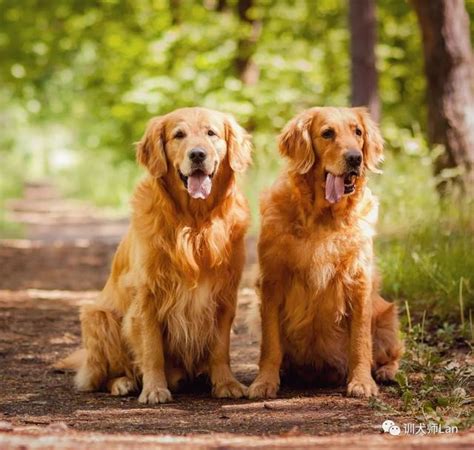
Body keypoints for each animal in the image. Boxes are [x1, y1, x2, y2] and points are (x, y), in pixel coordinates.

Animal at [57, 106, 252, 404]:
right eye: (178, 135)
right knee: (100, 376)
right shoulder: (147, 296)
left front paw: (226, 384)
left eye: (211, 133)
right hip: (97, 316)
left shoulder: (224, 296)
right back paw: (123, 382)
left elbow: (221, 348)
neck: (194, 223)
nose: (198, 155)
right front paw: (154, 389)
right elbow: (152, 351)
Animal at [248, 107, 404, 400]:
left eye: (358, 132)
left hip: (387, 318)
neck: (323, 217)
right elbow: (270, 343)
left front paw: (362, 382)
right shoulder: (272, 281)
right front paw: (264, 382)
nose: (355, 158)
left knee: (393, 354)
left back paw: (385, 372)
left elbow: (360, 342)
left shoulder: (359, 281)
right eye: (327, 133)